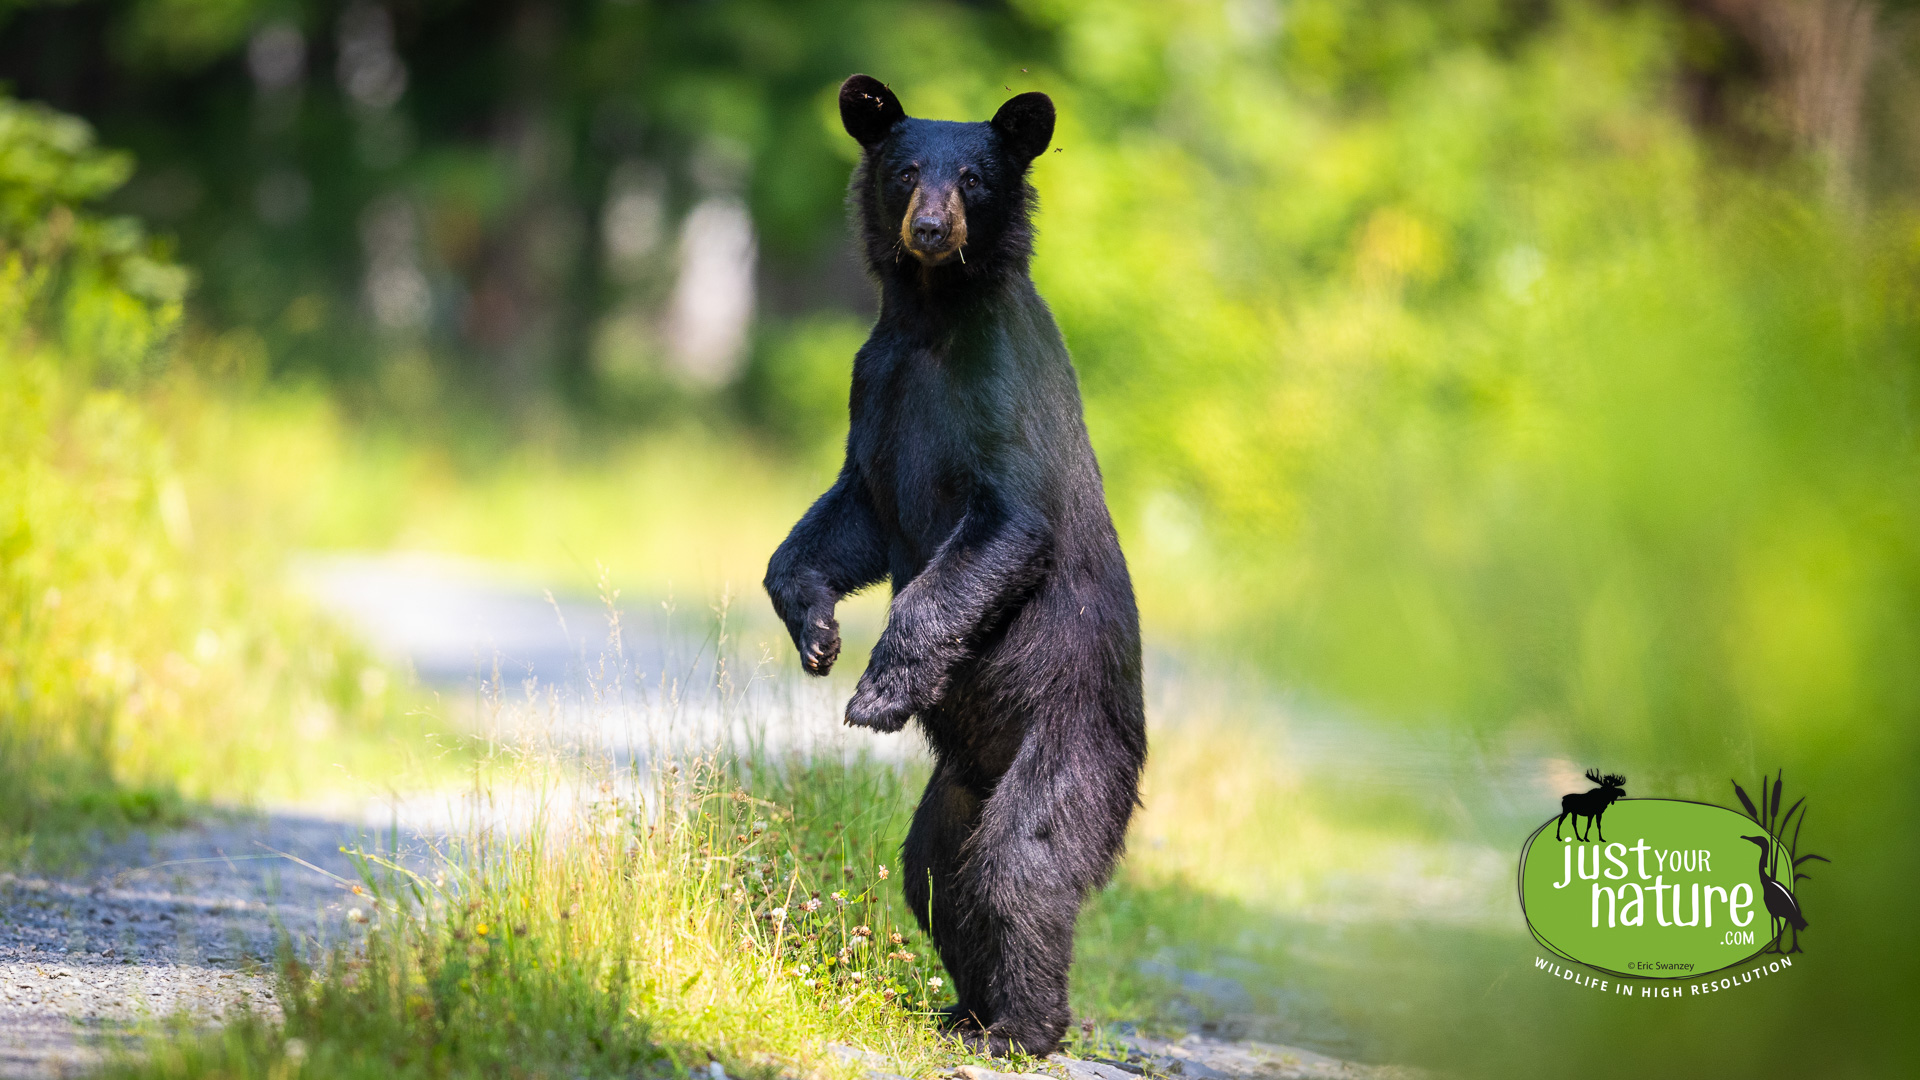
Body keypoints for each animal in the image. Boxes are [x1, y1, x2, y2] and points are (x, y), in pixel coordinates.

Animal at [764, 75, 1144, 1053]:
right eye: (905, 171)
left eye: (972, 176)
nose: (932, 229)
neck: (935, 317)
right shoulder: (876, 386)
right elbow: (847, 515)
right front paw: (815, 632)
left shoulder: (1000, 389)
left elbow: (1005, 523)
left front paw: (877, 693)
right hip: (955, 793)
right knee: (935, 873)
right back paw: (963, 1008)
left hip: (1073, 744)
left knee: (1024, 863)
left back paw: (1022, 1027)